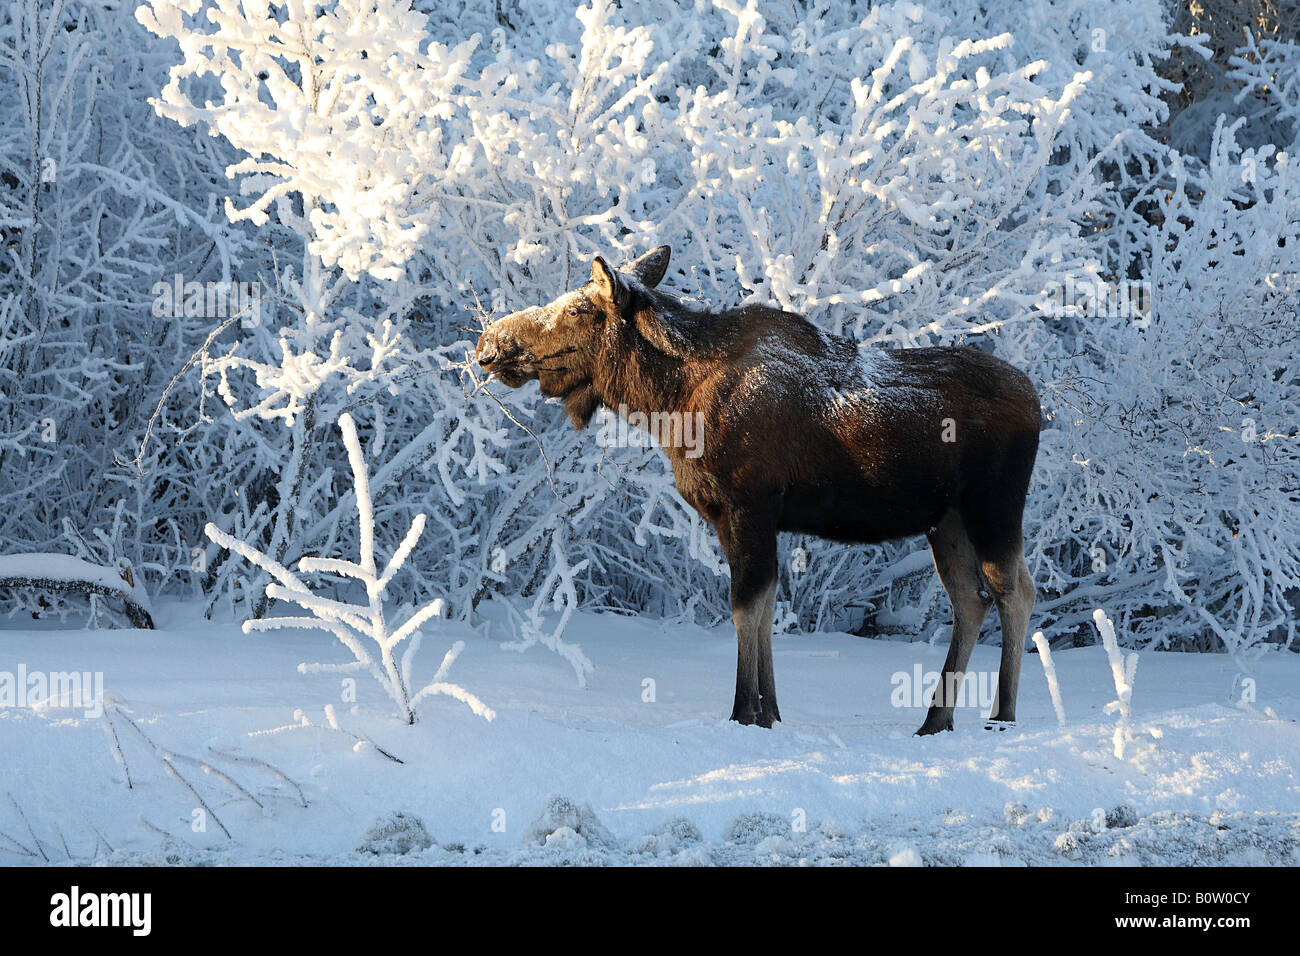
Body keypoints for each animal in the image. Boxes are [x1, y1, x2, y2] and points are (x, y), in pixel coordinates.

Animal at [473, 247, 1040, 733]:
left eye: (579, 309)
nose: (488, 343)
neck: (669, 405)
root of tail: (1038, 404)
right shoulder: (738, 517)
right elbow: (765, 608)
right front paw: (771, 712)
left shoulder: (748, 505)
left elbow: (746, 606)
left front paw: (744, 711)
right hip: (946, 521)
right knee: (972, 598)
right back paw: (936, 719)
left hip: (993, 506)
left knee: (1014, 591)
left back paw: (1003, 715)